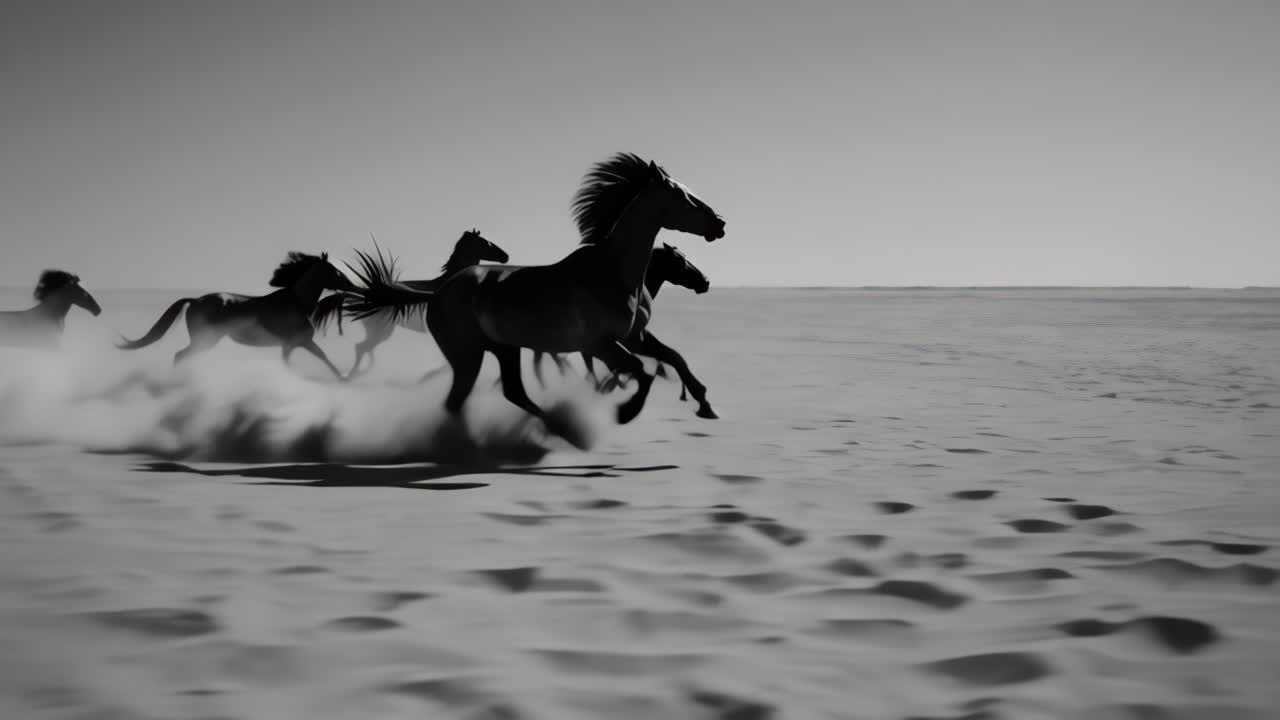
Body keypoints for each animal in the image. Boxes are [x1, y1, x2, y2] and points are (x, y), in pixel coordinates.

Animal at [116, 252, 355, 379]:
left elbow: (324, 358)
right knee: (180, 356)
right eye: (334, 271)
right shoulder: (291, 343)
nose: (352, 285)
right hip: (205, 340)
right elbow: (297, 363)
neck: (296, 302)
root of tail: (195, 301)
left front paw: (344, 378)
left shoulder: (302, 342)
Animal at [347, 229, 508, 378]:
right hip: (382, 331)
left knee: (364, 349)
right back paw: (349, 376)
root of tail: (365, 294)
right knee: (361, 348)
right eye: (485, 243)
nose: (505, 256)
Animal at [531, 242, 720, 418]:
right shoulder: (624, 340)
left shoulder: (634, 338)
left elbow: (673, 356)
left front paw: (702, 401)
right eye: (679, 261)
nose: (705, 281)